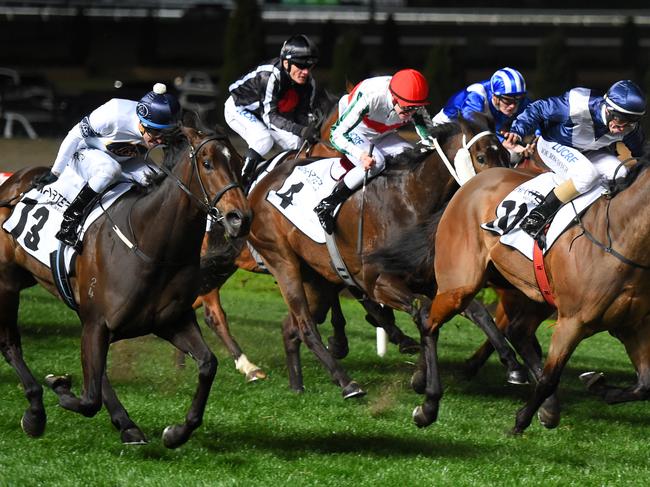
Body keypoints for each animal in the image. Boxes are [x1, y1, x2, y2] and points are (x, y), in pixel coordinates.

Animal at [0, 121, 249, 446]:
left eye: (239, 163)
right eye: (207, 163)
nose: (239, 218)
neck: (150, 244)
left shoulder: (170, 321)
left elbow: (208, 364)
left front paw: (175, 433)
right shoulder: (97, 323)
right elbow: (89, 398)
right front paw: (59, 386)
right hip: (7, 283)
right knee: (10, 344)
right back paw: (35, 412)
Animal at [246, 117, 524, 400]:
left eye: (507, 155)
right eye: (481, 157)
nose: (503, 196)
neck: (410, 200)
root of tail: (260, 186)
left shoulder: (429, 280)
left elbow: (477, 312)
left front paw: (513, 364)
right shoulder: (378, 281)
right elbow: (422, 311)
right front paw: (422, 376)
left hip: (316, 278)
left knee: (290, 326)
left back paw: (297, 384)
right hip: (283, 260)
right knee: (305, 326)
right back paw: (347, 383)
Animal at [410, 157, 650, 434]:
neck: (620, 238)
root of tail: (473, 182)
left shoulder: (632, 326)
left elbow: (644, 385)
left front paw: (598, 386)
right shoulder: (573, 323)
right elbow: (549, 378)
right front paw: (521, 420)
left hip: (531, 291)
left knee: (515, 330)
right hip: (461, 283)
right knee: (430, 322)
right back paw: (428, 406)